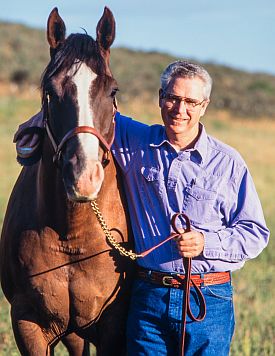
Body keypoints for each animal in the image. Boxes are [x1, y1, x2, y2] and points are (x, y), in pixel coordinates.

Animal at [0, 6, 134, 354]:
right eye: (50, 91)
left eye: (112, 91)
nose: (83, 177)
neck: (71, 235)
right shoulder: (28, 325)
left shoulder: (113, 325)